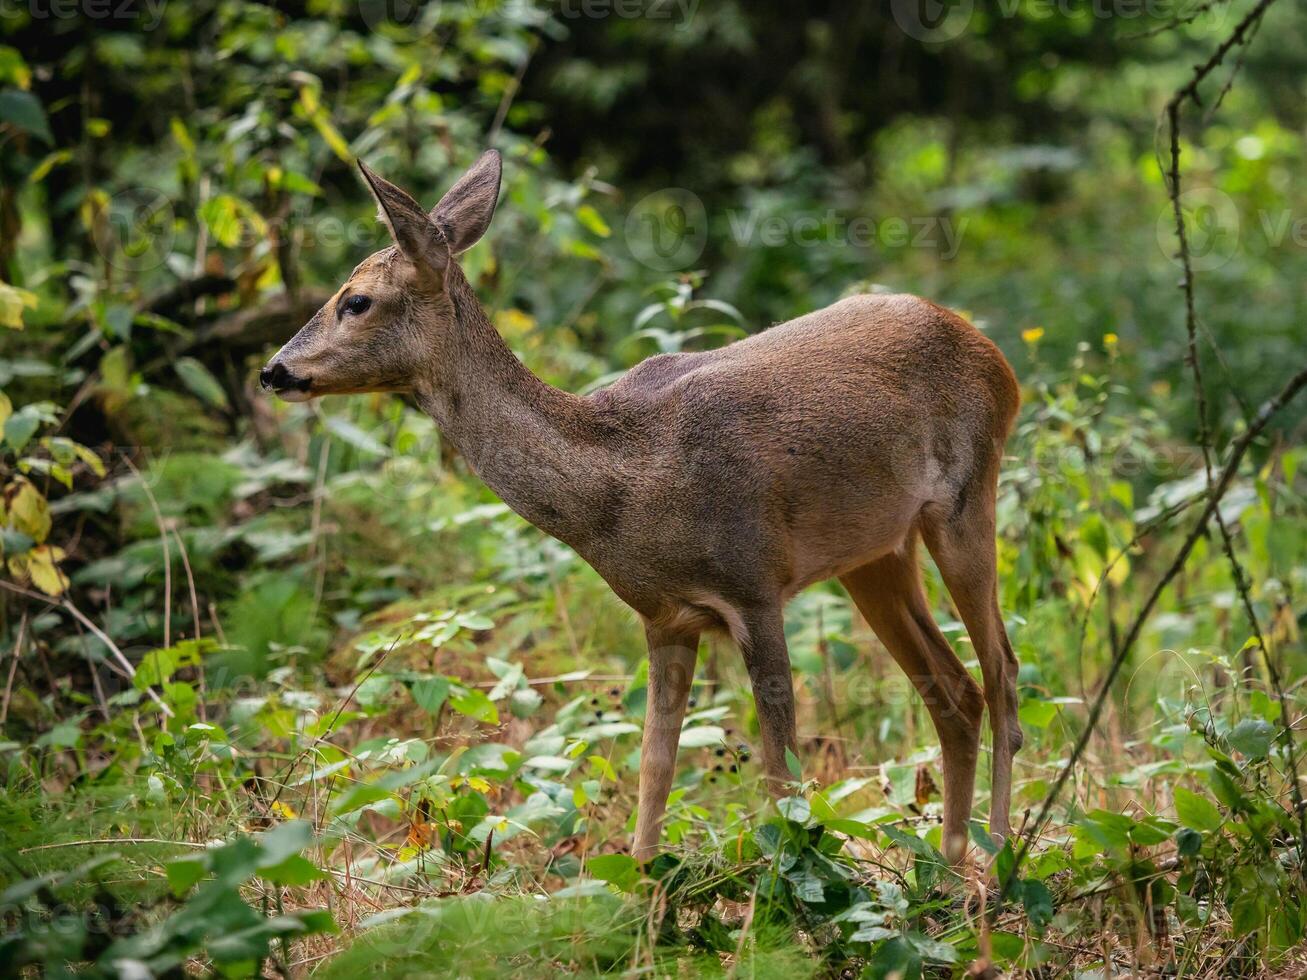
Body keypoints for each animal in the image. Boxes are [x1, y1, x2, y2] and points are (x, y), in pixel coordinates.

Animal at [262, 149, 1019, 862]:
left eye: (355, 300)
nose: (273, 370)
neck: (621, 488)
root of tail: (993, 355)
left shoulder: (753, 582)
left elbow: (781, 774)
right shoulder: (664, 616)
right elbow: (654, 768)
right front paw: (643, 890)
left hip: (966, 497)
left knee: (1002, 673)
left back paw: (997, 858)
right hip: (874, 550)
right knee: (954, 693)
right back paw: (949, 867)